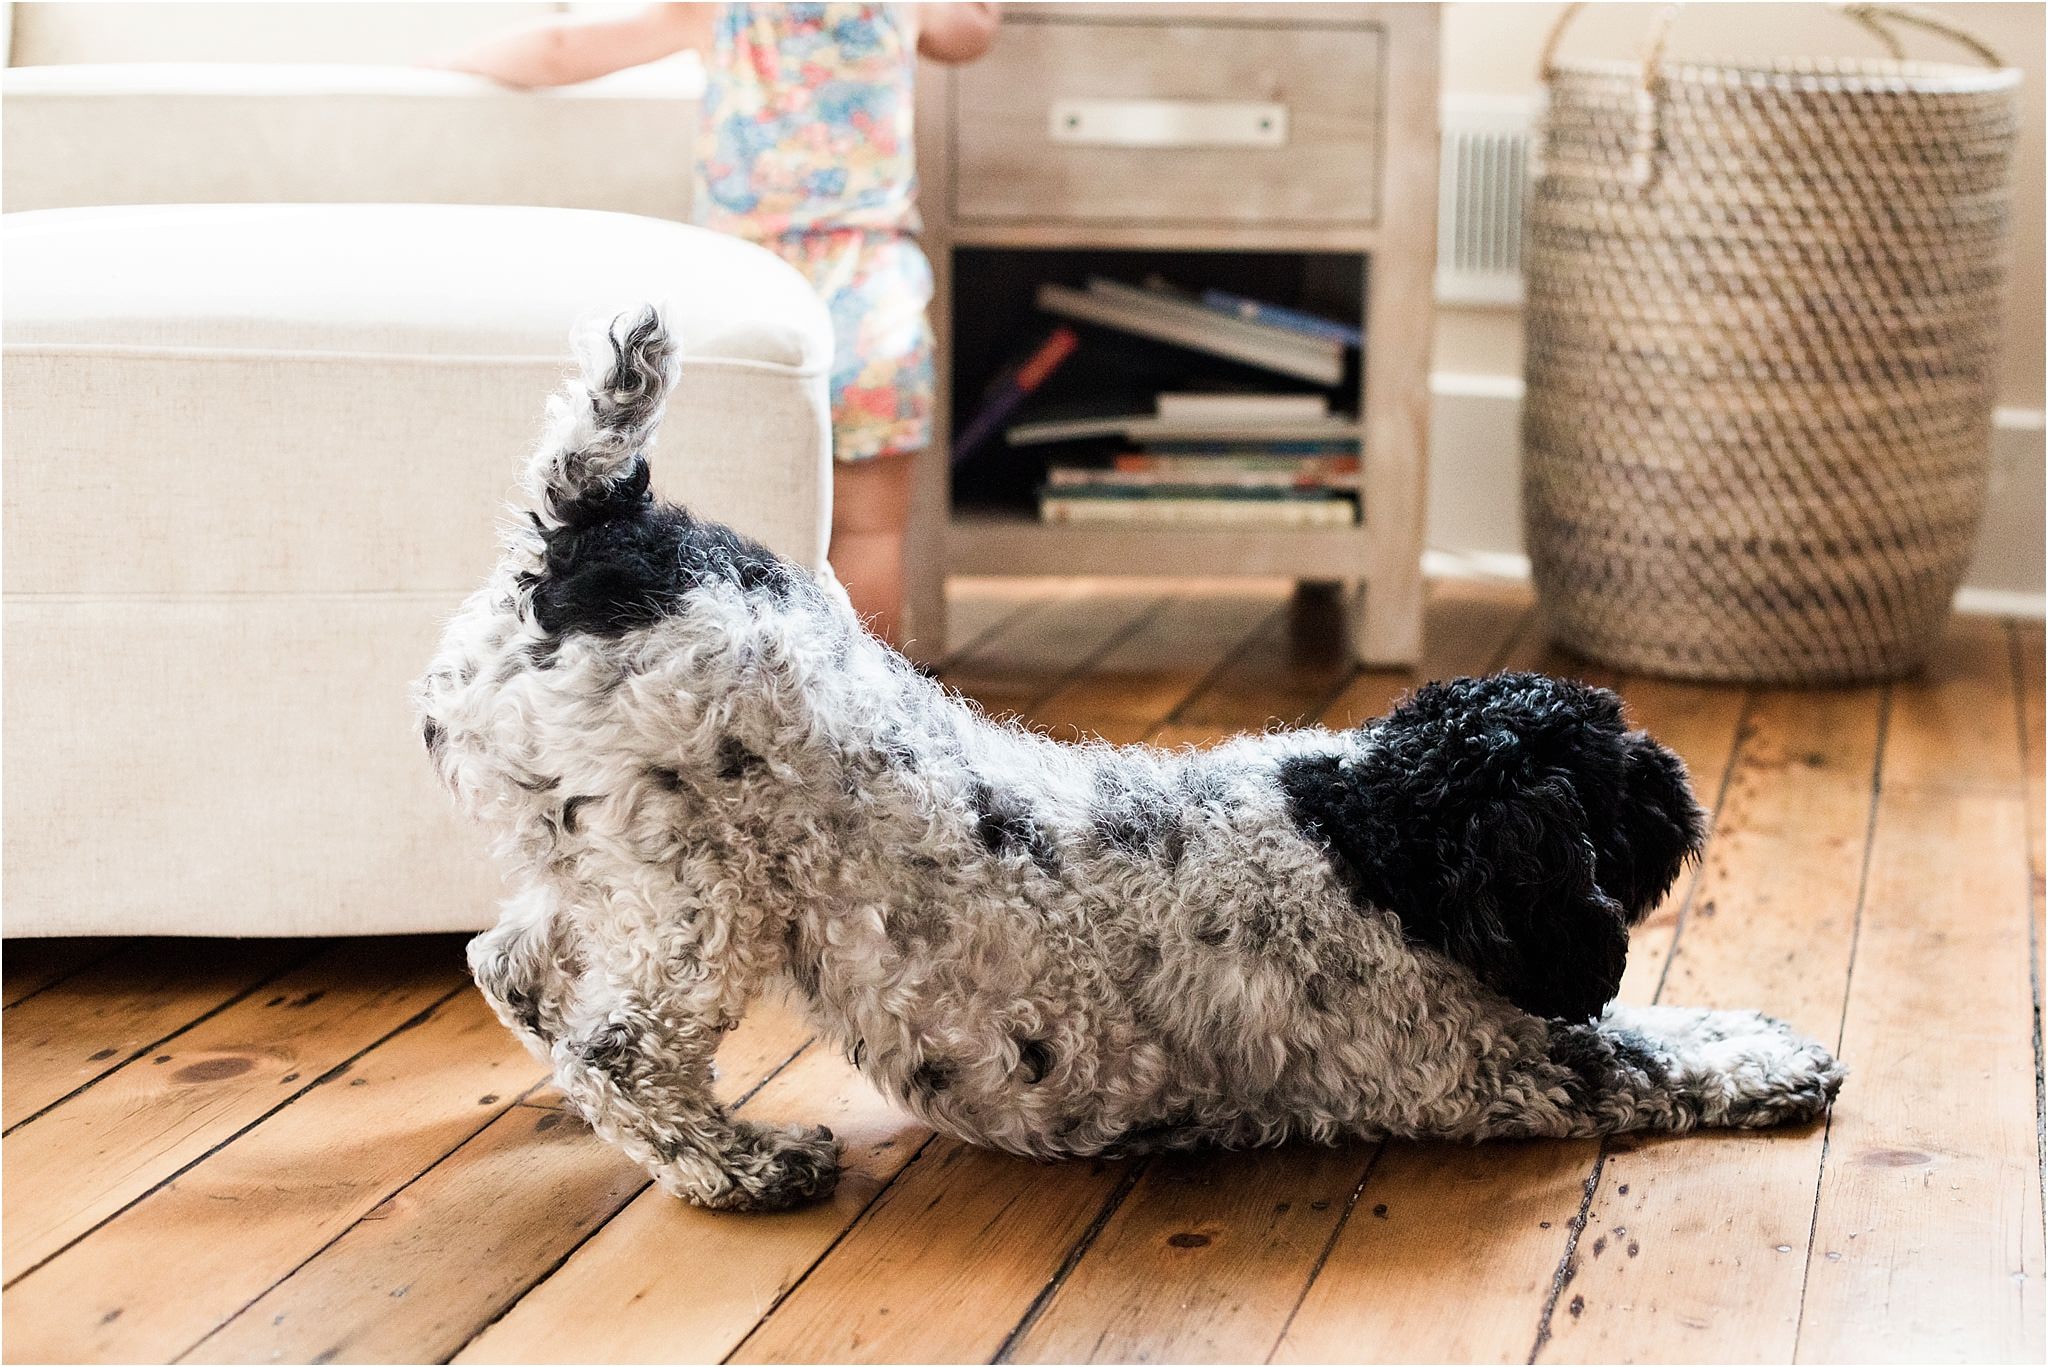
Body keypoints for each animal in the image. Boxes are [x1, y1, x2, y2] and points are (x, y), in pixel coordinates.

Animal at [411, 307, 1843, 1205]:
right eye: (1614, 773)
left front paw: (1759, 1019)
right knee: (619, 1046)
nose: (1684, 792)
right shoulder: (1490, 1062)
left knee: (511, 964)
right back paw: (739, 1168)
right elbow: (1658, 1054)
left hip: (594, 860)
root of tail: (596, 528)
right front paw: (1777, 1060)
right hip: (696, 891)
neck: (1374, 828)